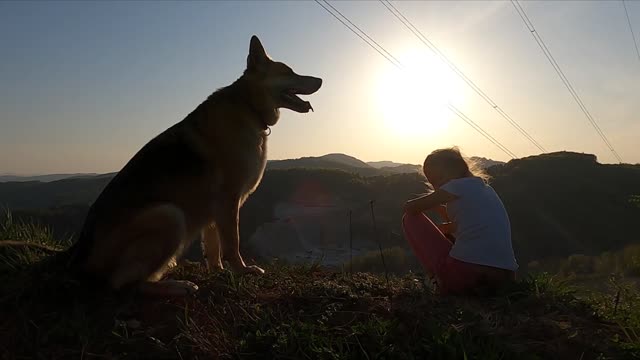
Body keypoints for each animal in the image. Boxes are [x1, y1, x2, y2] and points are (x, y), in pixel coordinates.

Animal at [48, 35, 322, 296]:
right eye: (288, 72)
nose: (320, 79)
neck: (248, 106)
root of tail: (80, 262)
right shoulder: (229, 200)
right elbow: (232, 243)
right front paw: (242, 271)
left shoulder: (216, 209)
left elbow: (213, 247)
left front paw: (218, 271)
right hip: (170, 215)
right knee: (122, 284)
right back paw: (177, 286)